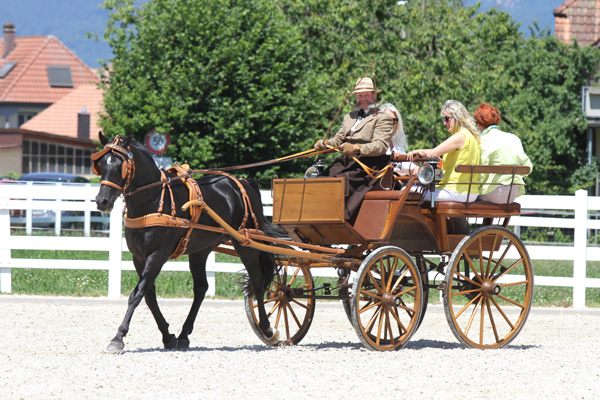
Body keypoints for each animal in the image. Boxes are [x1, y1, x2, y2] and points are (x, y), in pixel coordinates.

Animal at [94, 133, 278, 352]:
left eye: (120, 166)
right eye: (101, 164)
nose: (102, 201)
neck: (152, 201)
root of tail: (243, 182)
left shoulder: (157, 255)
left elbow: (137, 294)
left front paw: (118, 337)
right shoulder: (138, 257)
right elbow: (149, 295)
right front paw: (168, 337)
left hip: (245, 244)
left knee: (257, 281)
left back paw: (266, 328)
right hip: (200, 250)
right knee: (201, 288)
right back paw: (183, 335)